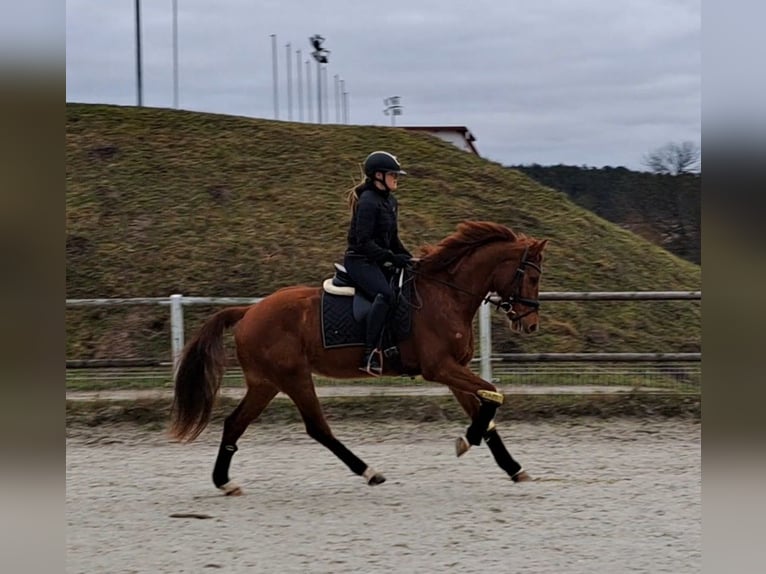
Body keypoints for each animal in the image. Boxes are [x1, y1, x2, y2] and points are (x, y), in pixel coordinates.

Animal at [171, 220, 548, 496]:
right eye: (531, 276)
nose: (529, 324)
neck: (446, 296)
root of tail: (249, 311)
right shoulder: (440, 368)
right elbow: (494, 394)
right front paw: (466, 441)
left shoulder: (455, 370)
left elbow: (487, 409)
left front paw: (513, 467)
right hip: (292, 377)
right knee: (317, 427)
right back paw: (369, 472)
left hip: (266, 383)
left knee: (235, 423)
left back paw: (224, 482)